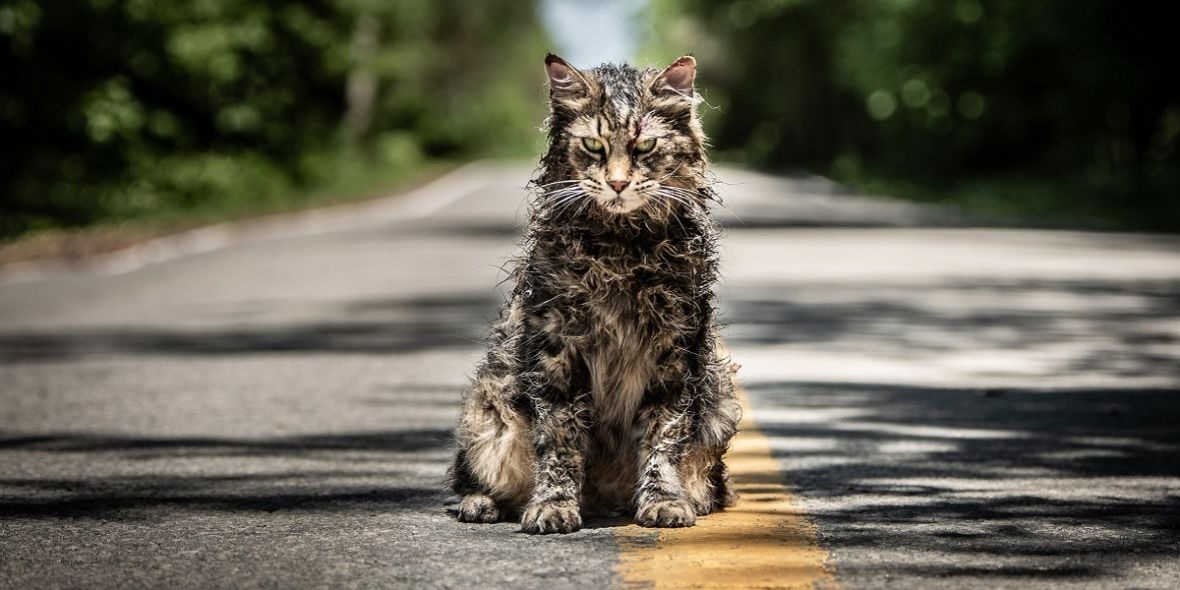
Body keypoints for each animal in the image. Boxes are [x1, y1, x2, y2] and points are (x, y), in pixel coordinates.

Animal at [448, 54, 736, 535]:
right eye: (594, 146)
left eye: (644, 147)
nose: (617, 184)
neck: (619, 250)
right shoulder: (556, 352)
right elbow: (560, 442)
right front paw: (553, 506)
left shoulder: (675, 353)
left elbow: (663, 437)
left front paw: (663, 501)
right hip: (488, 408)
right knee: (473, 478)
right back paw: (482, 504)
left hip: (719, 404)